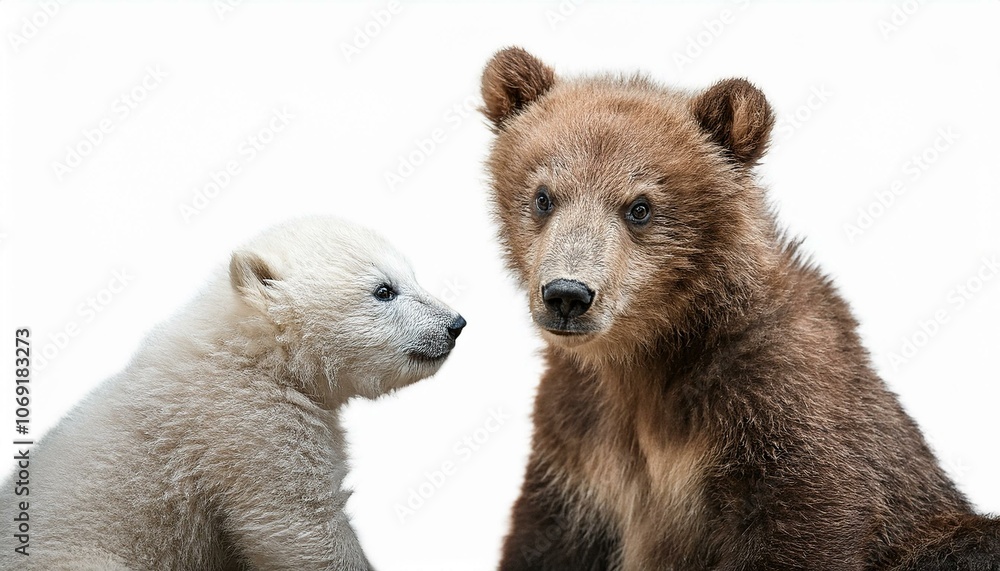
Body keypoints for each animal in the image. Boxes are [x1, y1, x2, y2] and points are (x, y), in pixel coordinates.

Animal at [1, 216, 466, 570]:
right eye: (384, 290)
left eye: (411, 275)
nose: (455, 324)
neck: (250, 349)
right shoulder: (247, 423)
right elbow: (300, 525)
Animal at [479, 47, 1000, 571]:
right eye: (544, 196)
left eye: (640, 207)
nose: (567, 294)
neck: (648, 355)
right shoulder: (578, 445)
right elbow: (547, 538)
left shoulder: (778, 406)